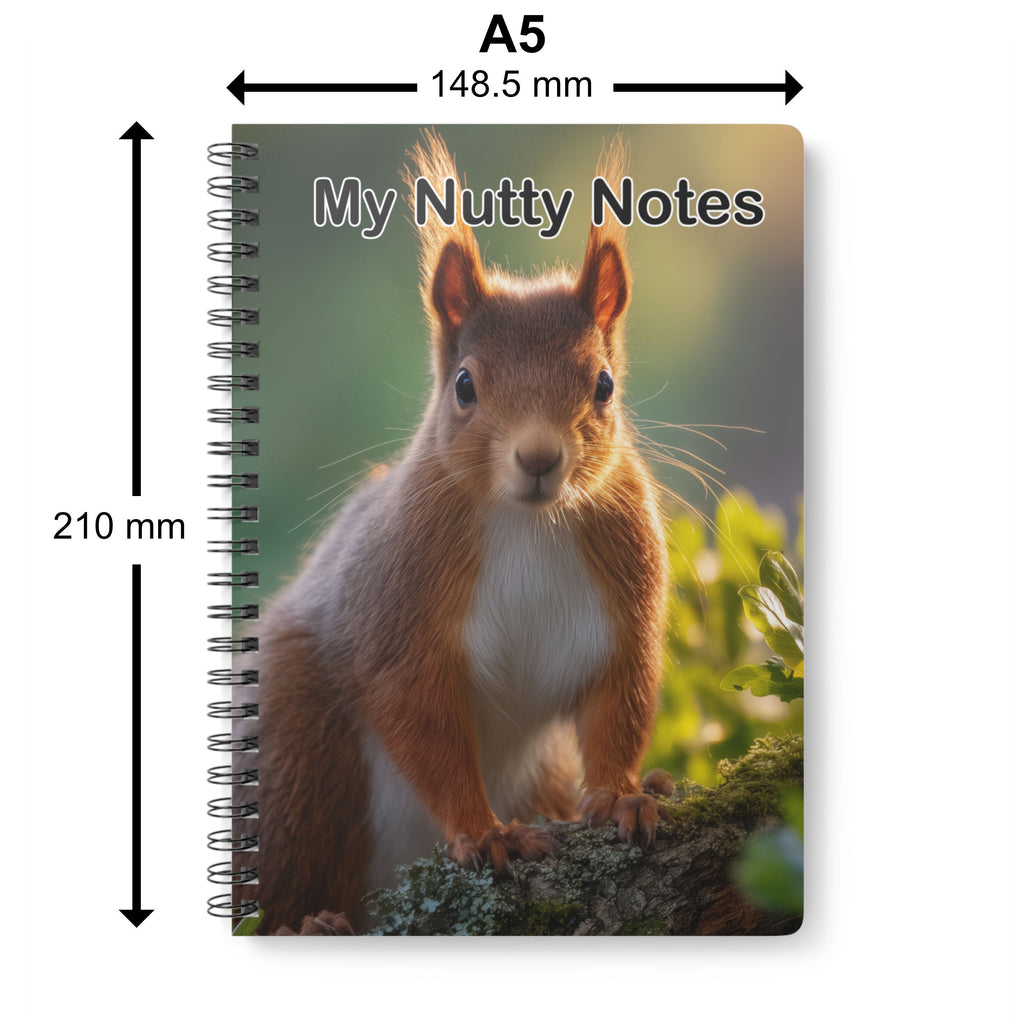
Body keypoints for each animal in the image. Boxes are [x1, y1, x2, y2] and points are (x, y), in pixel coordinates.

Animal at [246, 132, 670, 934]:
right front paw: (485, 832)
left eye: (603, 385)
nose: (538, 459)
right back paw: (313, 921)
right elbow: (421, 720)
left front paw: (623, 794)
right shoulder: (401, 607)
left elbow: (619, 699)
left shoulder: (623, 590)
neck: (529, 524)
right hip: (298, 757)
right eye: (464, 386)